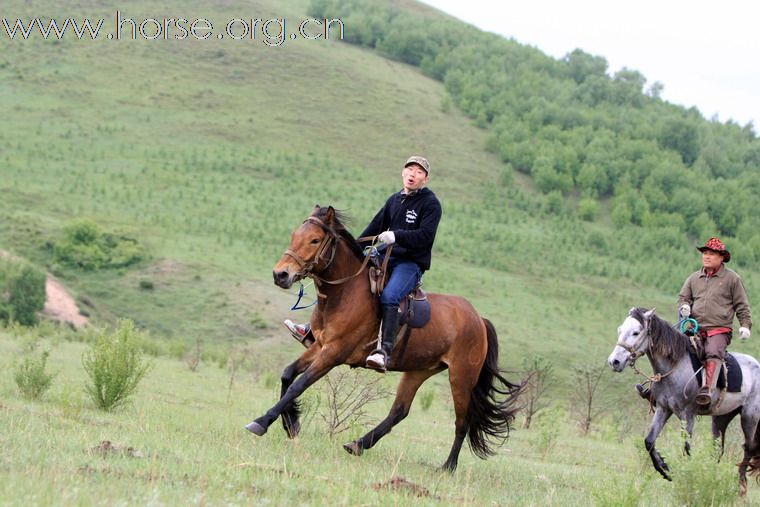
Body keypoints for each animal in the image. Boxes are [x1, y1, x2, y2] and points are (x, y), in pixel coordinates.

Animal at [246, 206, 520, 472]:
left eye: (314, 240)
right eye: (295, 235)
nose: (280, 274)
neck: (345, 293)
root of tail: (478, 319)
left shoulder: (333, 353)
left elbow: (298, 385)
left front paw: (261, 422)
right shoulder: (321, 346)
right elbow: (287, 375)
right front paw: (291, 424)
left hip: (461, 377)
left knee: (462, 421)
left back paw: (447, 467)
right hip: (419, 371)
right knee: (399, 411)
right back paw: (358, 444)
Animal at [608, 308, 760, 494]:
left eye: (636, 332)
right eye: (620, 330)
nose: (614, 361)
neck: (675, 366)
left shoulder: (687, 414)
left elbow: (686, 446)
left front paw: (691, 476)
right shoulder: (663, 409)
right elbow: (649, 441)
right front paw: (665, 469)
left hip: (749, 416)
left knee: (749, 448)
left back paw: (741, 487)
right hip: (721, 417)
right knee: (718, 449)